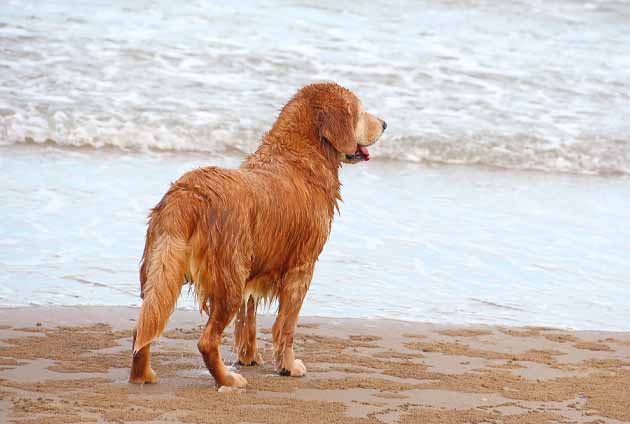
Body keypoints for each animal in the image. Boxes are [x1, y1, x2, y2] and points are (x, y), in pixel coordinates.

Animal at [130, 83, 386, 390]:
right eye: (359, 111)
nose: (385, 123)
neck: (300, 156)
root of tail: (188, 194)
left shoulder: (254, 270)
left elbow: (248, 319)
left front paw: (249, 357)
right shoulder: (301, 268)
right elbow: (287, 326)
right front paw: (288, 366)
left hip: (159, 269)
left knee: (143, 326)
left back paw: (142, 374)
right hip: (228, 277)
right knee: (206, 341)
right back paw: (228, 379)